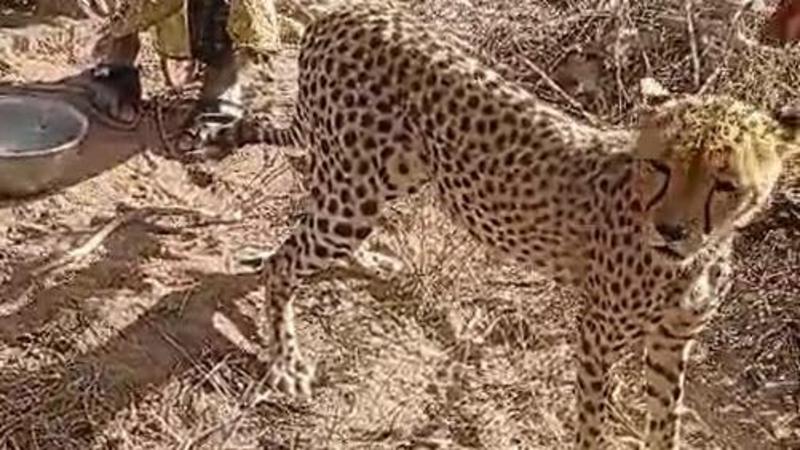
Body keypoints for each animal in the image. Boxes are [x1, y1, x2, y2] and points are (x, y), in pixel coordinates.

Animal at [197, 2, 800, 448]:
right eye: (661, 167)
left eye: (725, 184)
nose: (672, 231)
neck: (697, 255)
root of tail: (340, 14)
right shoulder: (597, 334)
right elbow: (593, 419)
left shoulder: (673, 341)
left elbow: (664, 420)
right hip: (358, 190)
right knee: (282, 261)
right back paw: (286, 361)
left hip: (378, 179)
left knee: (311, 216)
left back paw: (366, 262)